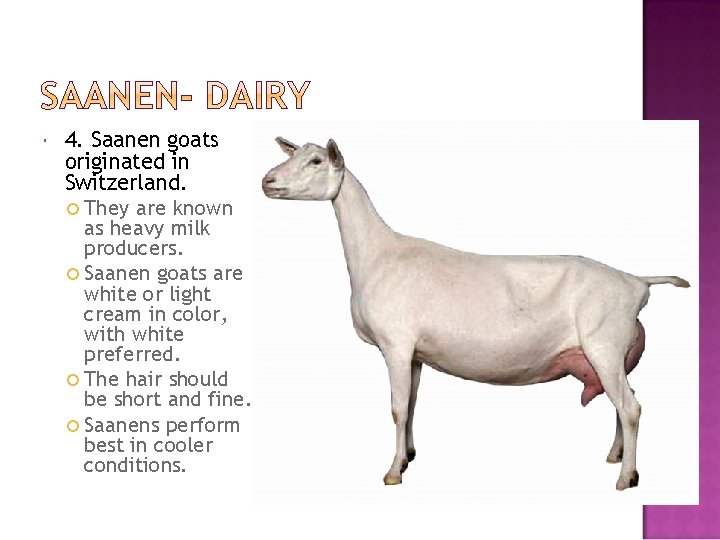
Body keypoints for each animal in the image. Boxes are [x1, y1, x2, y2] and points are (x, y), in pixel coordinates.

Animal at [261, 137, 690, 490]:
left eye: (316, 160)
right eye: (295, 154)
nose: (267, 180)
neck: (378, 256)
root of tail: (636, 282)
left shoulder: (395, 344)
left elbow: (397, 408)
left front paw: (393, 472)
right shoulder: (415, 353)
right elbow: (412, 405)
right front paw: (409, 456)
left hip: (603, 343)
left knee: (631, 408)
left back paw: (627, 477)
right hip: (612, 354)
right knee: (623, 401)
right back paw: (616, 456)